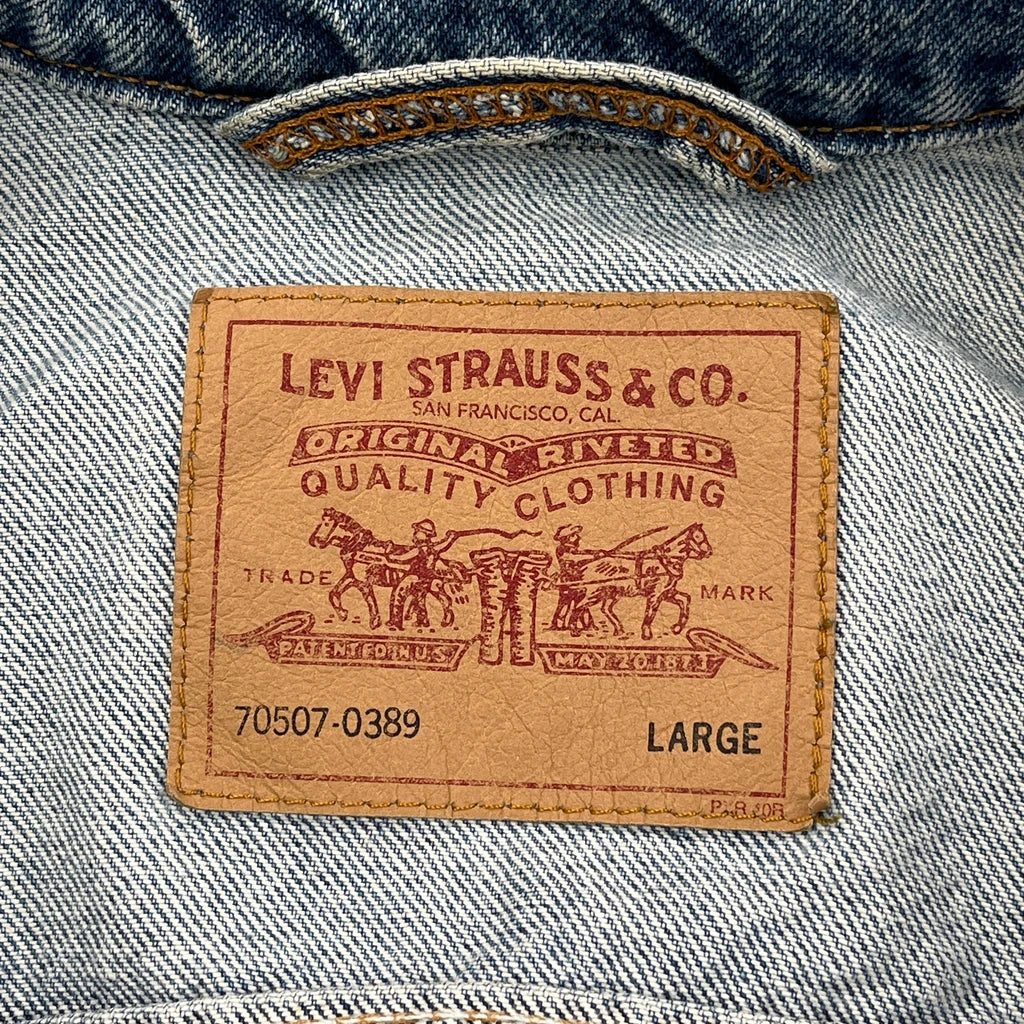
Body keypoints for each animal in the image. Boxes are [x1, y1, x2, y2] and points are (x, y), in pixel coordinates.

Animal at [565, 522, 713, 641]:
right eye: (698, 536)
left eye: (704, 535)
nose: (709, 552)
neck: (665, 560)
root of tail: (584, 565)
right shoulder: (655, 594)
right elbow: (650, 613)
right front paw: (646, 634)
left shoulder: (667, 592)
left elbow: (685, 599)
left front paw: (677, 627)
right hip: (595, 593)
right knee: (578, 607)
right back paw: (574, 630)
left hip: (611, 594)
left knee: (605, 608)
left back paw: (619, 629)